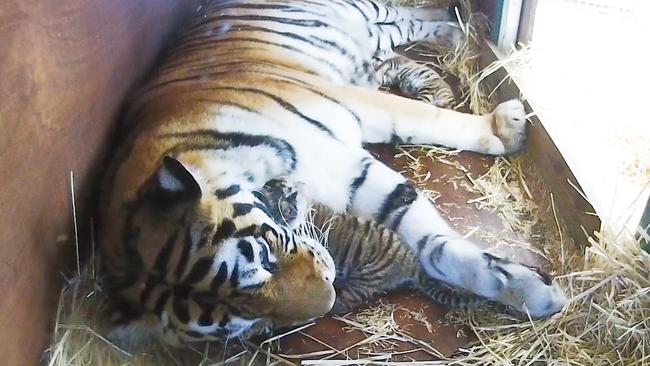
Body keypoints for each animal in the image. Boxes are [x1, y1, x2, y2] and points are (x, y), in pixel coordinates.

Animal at [97, 0, 568, 346]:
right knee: (407, 20)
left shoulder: (352, 113)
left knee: (402, 10)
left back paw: (460, 28)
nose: (327, 300)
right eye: (241, 321)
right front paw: (526, 290)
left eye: (263, 257)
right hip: (370, 32)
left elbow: (434, 128)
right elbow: (426, 240)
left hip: (357, 12)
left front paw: (505, 130)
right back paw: (453, 29)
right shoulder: (345, 168)